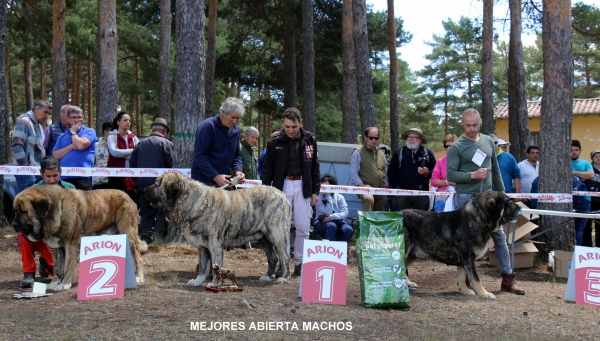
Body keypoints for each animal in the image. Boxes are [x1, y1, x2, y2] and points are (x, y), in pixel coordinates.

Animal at [12, 185, 144, 290]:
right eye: (15, 211)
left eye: (23, 211)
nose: (13, 224)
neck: (56, 210)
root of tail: (129, 197)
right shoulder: (57, 248)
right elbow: (58, 268)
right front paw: (55, 282)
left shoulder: (71, 245)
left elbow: (68, 266)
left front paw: (64, 284)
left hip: (129, 235)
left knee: (138, 257)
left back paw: (138, 277)